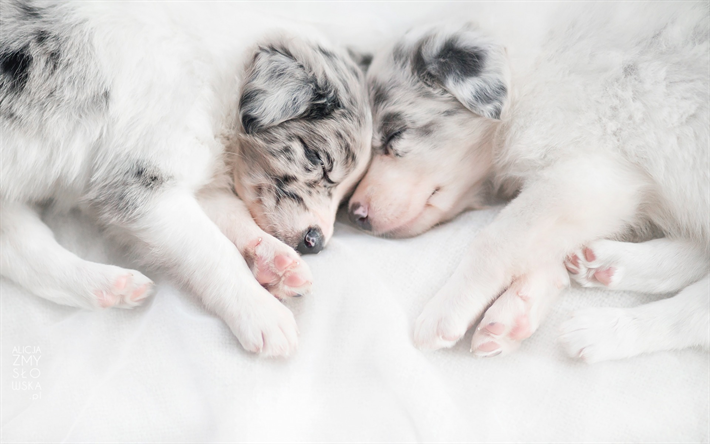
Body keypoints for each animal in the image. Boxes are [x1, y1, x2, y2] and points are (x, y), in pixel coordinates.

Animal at [0, 0, 376, 358]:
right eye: (317, 160)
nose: (317, 242)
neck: (217, 79)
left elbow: (233, 215)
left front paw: (277, 263)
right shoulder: (142, 183)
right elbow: (212, 250)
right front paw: (262, 313)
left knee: (22, 251)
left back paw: (111, 287)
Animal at [348, 3, 708, 362]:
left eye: (395, 135)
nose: (353, 214)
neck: (528, 72)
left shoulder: (588, 178)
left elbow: (495, 240)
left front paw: (446, 309)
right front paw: (516, 312)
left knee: (694, 313)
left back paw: (601, 331)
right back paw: (607, 264)